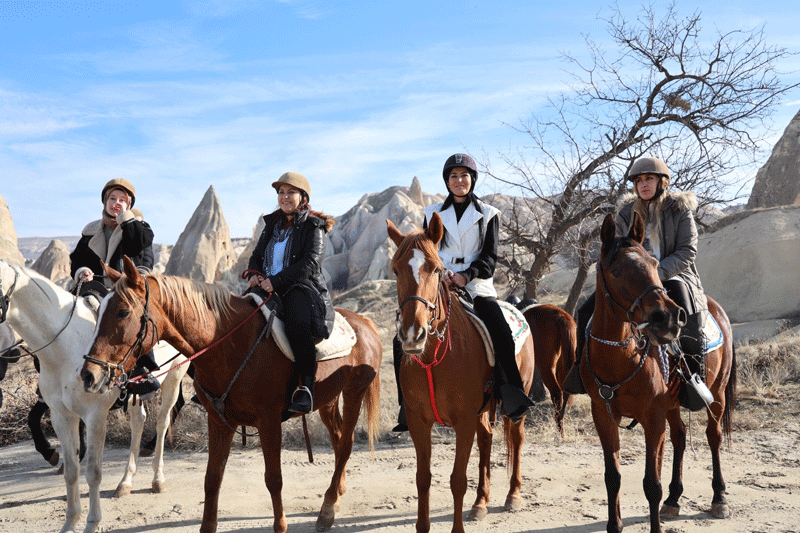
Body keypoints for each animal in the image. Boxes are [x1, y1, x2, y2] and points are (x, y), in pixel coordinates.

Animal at [0, 260, 189, 532]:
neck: (63, 347)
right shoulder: (61, 416)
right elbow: (71, 471)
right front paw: (70, 522)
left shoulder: (95, 417)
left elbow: (93, 473)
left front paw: (92, 522)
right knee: (138, 422)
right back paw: (125, 482)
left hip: (174, 379)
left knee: (162, 423)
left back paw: (157, 479)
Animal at [80, 256, 382, 528]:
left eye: (123, 312)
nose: (89, 374)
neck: (230, 344)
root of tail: (365, 323)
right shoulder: (219, 421)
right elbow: (212, 479)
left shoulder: (269, 422)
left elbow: (274, 479)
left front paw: (281, 524)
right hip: (327, 400)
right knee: (338, 440)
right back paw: (336, 495)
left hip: (354, 392)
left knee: (346, 444)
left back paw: (328, 509)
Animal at [388, 213, 536, 532]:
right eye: (395, 270)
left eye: (436, 269)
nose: (412, 335)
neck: (433, 359)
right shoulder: (419, 423)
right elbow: (423, 479)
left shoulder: (464, 421)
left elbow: (457, 480)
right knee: (487, 438)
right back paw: (481, 502)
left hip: (518, 401)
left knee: (516, 439)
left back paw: (513, 496)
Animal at [580, 213, 736, 532]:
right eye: (616, 270)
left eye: (654, 265)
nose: (668, 318)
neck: (620, 356)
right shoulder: (603, 415)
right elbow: (612, 477)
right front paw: (614, 525)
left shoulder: (652, 417)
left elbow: (652, 484)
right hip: (673, 406)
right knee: (680, 437)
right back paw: (674, 500)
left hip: (716, 394)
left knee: (713, 437)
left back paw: (719, 498)